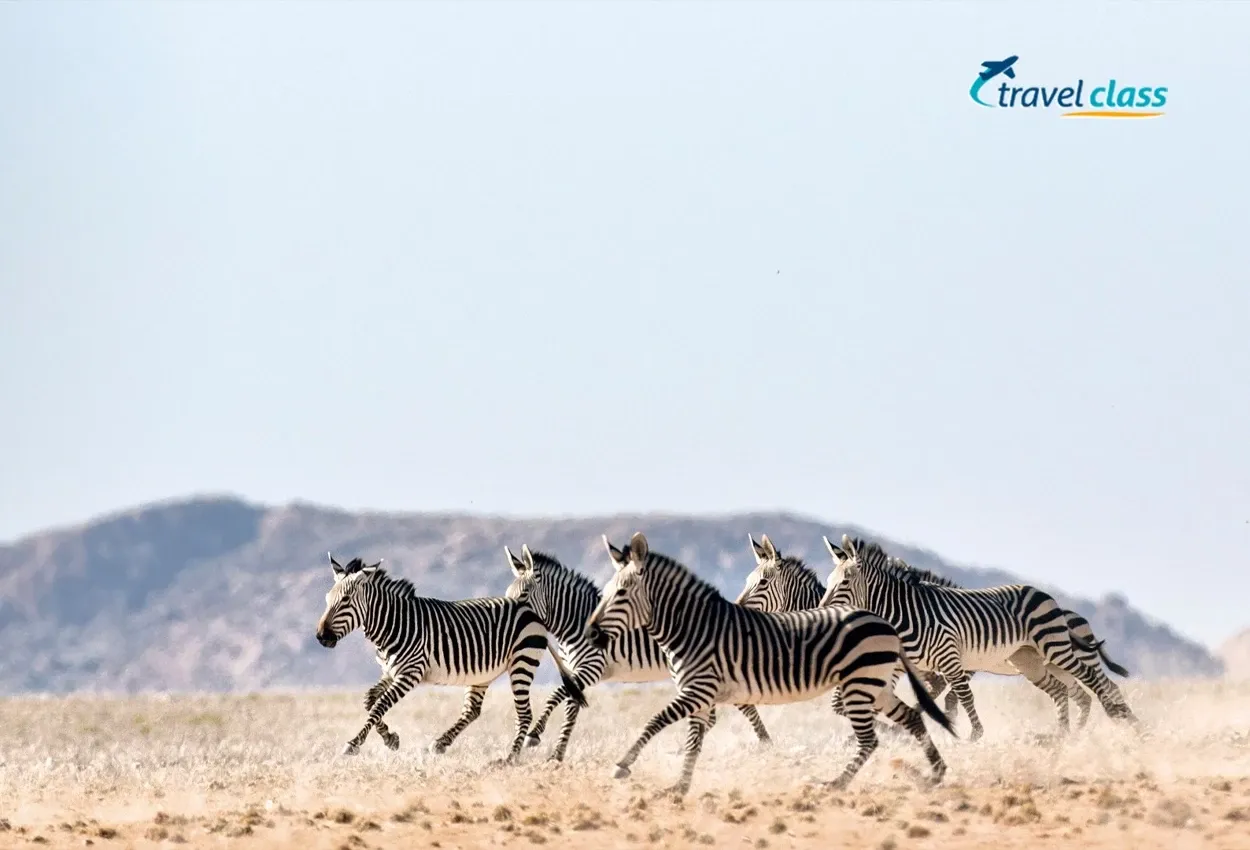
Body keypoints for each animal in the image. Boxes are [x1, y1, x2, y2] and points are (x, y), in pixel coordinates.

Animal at [315, 553, 587, 761]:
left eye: (345, 600)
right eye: (327, 600)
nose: (321, 637)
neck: (394, 623)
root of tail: (532, 612)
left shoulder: (410, 672)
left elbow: (380, 704)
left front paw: (354, 743)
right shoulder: (390, 672)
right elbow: (370, 701)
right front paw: (390, 738)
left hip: (522, 662)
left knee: (524, 714)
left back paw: (510, 758)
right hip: (483, 673)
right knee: (473, 710)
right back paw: (441, 743)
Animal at [503, 544, 773, 761]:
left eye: (524, 595)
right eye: (507, 595)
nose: (509, 620)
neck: (574, 622)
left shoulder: (592, 667)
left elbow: (556, 695)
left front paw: (535, 734)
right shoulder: (575, 671)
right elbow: (571, 707)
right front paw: (557, 754)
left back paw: (765, 742)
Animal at [582, 532, 955, 797]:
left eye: (621, 593)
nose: (590, 633)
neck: (692, 628)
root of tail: (884, 623)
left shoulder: (698, 691)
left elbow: (654, 721)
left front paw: (623, 766)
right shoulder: (701, 697)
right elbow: (693, 741)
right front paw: (679, 787)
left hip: (860, 686)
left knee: (871, 740)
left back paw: (835, 784)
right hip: (874, 686)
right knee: (911, 718)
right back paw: (934, 773)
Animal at [738, 534, 1129, 729]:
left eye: (761, 583)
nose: (737, 608)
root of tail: (1072, 614)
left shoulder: (938, 666)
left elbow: (950, 700)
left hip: (1060, 654)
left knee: (1100, 686)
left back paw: (1123, 724)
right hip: (1037, 664)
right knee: (1077, 695)